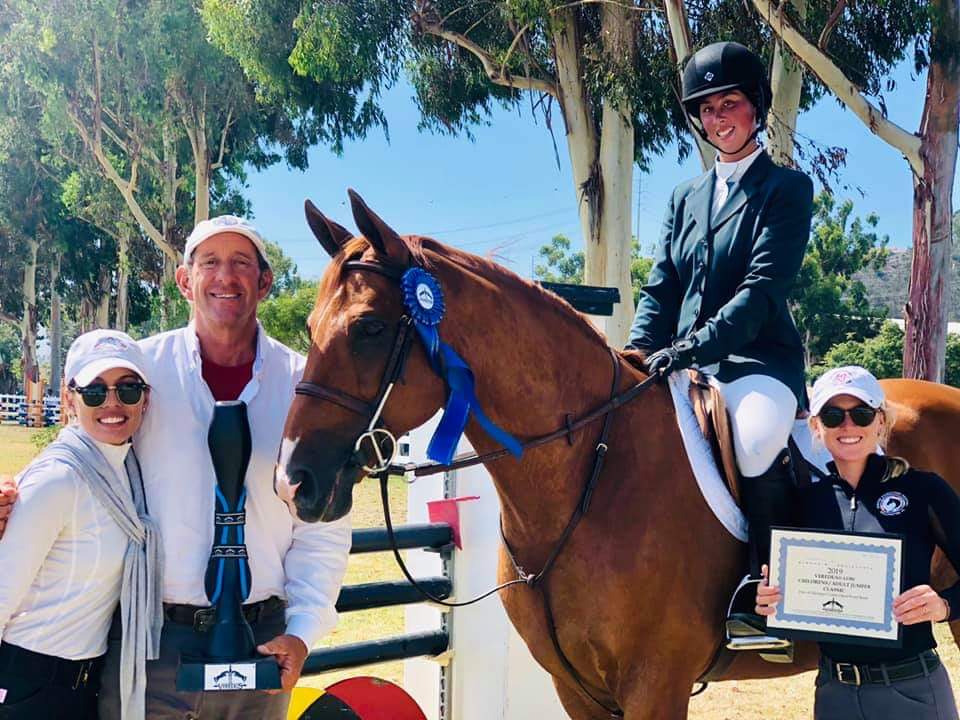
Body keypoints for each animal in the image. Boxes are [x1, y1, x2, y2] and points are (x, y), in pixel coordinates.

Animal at [276, 191, 960, 720]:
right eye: (308, 329)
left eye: (368, 328)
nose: (292, 483)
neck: (592, 476)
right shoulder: (576, 688)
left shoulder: (656, 685)